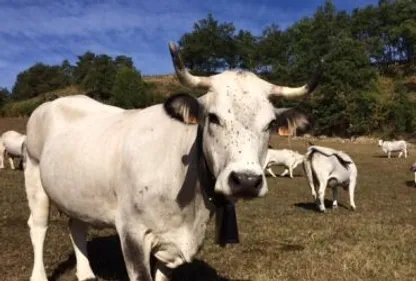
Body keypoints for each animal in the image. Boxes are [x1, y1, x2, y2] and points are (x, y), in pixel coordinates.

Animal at [22, 41, 322, 280]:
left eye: (270, 124)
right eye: (213, 117)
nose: (246, 181)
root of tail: (53, 103)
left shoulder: (173, 244)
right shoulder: (131, 232)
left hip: (77, 191)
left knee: (77, 226)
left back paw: (86, 274)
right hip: (34, 175)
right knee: (38, 227)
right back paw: (39, 275)